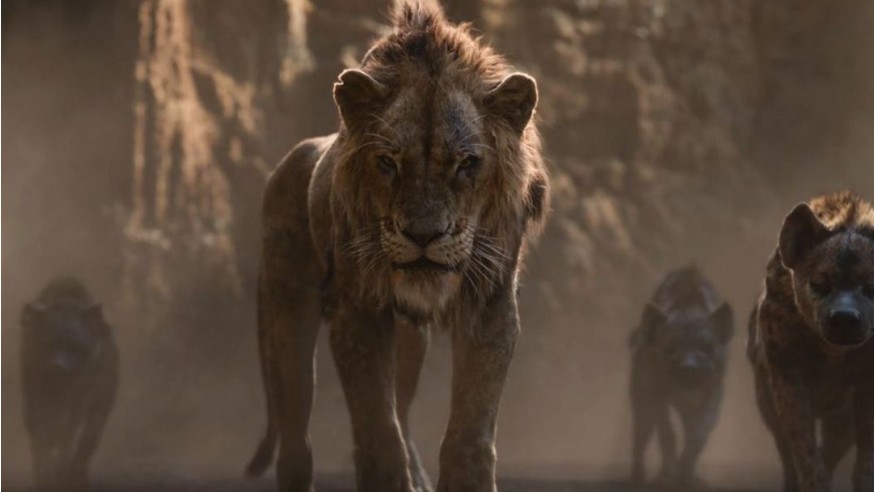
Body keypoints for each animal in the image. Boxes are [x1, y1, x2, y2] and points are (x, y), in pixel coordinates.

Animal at [245, 1, 549, 491]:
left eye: (467, 163)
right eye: (387, 162)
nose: (423, 235)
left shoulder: (491, 305)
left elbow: (469, 433)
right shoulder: (359, 311)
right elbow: (377, 431)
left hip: (410, 341)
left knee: (403, 413)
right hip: (287, 315)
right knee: (295, 439)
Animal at [748, 191, 873, 492]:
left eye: (870, 287)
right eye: (819, 282)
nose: (844, 317)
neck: (833, 354)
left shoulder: (867, 380)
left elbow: (865, 452)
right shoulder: (786, 373)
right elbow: (802, 445)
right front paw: (813, 482)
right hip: (765, 398)